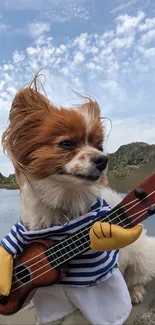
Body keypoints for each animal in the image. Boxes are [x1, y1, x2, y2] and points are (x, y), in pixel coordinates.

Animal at [1, 74, 155, 324]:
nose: (103, 159)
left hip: (143, 252)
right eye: (67, 144)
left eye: (99, 147)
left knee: (137, 276)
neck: (63, 203)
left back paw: (136, 291)